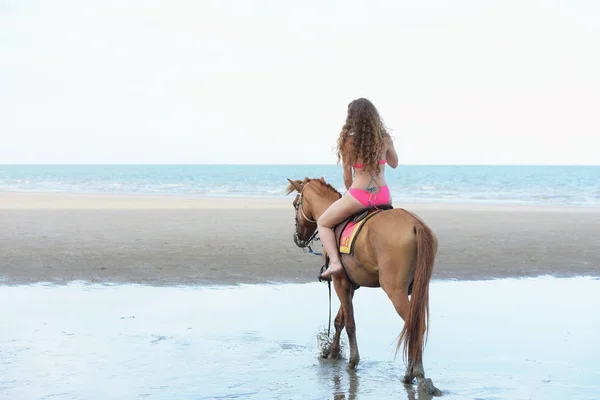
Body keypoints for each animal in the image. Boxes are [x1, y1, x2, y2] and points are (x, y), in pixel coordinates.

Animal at [286, 177, 440, 396]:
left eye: (295, 205)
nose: (297, 238)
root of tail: (415, 223)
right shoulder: (349, 285)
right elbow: (339, 320)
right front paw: (333, 352)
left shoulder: (340, 282)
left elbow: (350, 323)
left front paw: (352, 361)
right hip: (421, 287)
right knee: (415, 323)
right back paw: (412, 372)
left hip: (395, 291)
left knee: (414, 325)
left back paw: (415, 373)